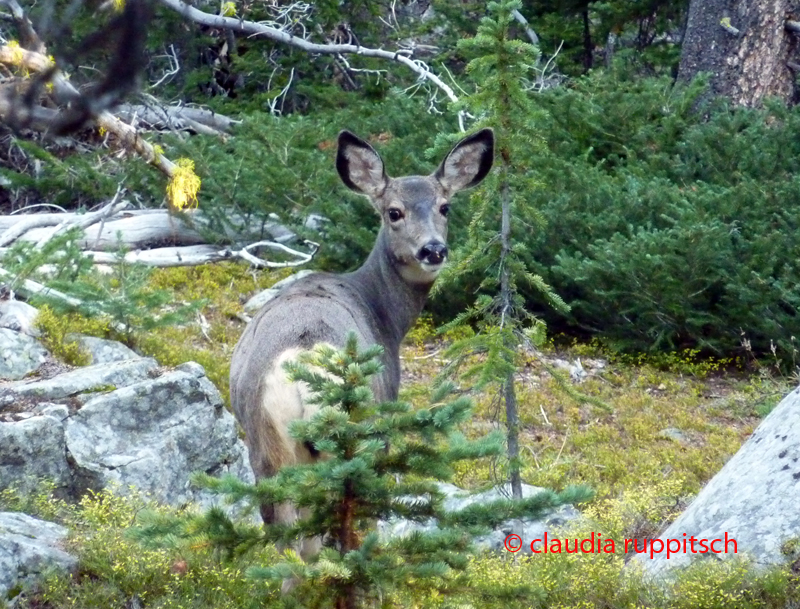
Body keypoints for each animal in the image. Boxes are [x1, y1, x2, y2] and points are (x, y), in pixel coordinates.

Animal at [228, 129, 494, 560]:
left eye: (445, 207)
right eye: (394, 212)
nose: (433, 250)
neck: (381, 311)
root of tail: (305, 360)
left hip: (265, 446)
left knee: (288, 543)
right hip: (360, 441)